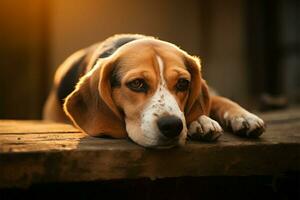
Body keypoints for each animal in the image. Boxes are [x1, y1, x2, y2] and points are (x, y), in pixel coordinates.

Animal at [44, 33, 264, 148]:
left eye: (183, 83)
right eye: (137, 83)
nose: (172, 126)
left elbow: (219, 100)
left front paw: (240, 116)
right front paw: (200, 120)